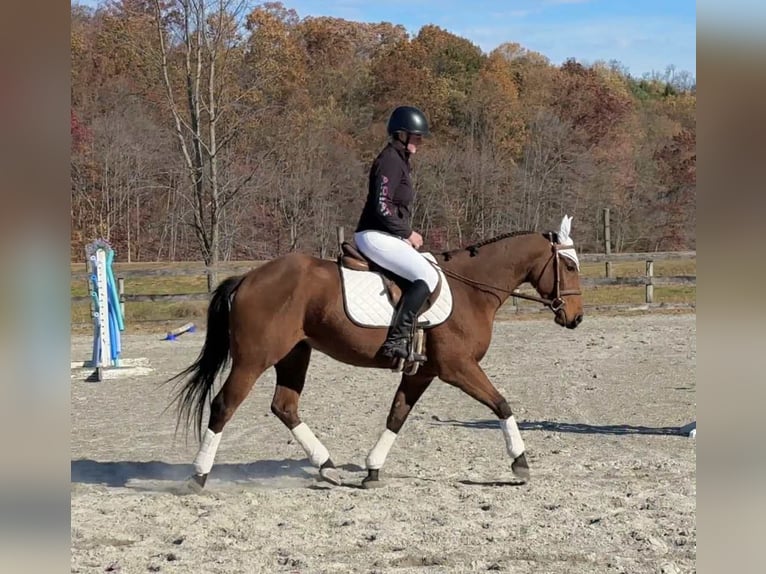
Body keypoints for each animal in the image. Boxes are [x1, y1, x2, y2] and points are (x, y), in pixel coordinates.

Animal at [168, 215, 583, 489]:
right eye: (568, 264)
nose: (576, 317)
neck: (472, 288)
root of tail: (249, 277)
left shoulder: (422, 372)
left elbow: (397, 415)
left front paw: (372, 469)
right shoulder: (457, 367)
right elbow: (501, 404)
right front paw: (521, 463)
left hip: (294, 354)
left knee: (284, 406)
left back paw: (328, 466)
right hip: (254, 359)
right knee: (224, 405)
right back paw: (199, 476)